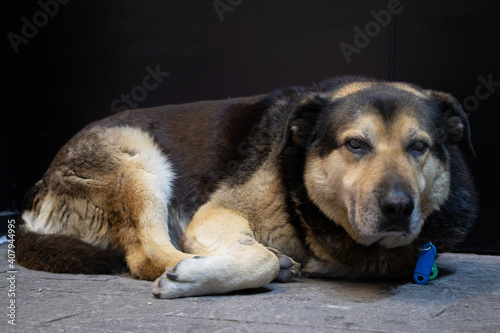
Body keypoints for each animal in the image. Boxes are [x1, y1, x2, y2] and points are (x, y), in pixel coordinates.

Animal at [16, 76, 476, 298]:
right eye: (356, 144)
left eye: (419, 147)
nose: (399, 208)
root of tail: (37, 189)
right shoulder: (217, 213)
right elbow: (260, 258)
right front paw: (201, 275)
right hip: (138, 159)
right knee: (148, 255)